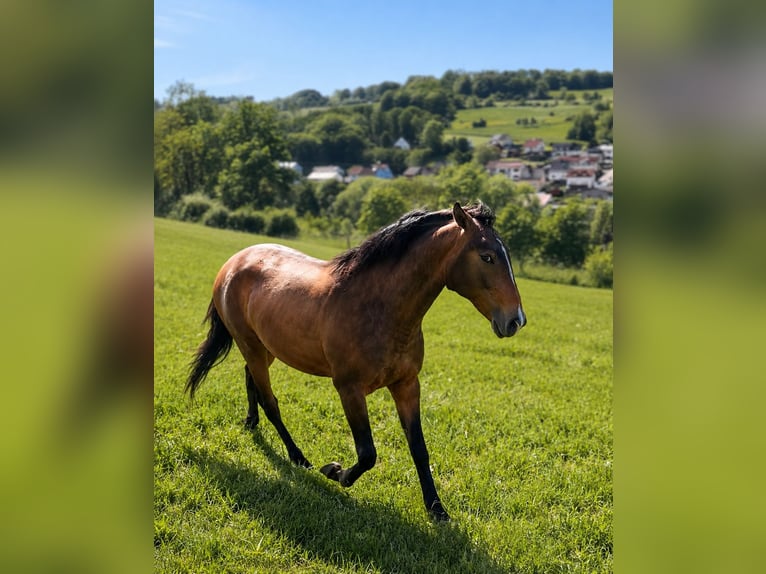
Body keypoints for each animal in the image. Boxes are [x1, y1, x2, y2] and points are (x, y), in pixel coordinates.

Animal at [186, 203, 526, 521]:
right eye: (487, 257)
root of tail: (234, 262)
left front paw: (437, 510)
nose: (516, 320)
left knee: (250, 379)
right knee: (271, 403)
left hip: (264, 347)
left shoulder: (406, 385)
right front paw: (335, 471)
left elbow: (419, 448)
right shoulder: (348, 388)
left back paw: (251, 423)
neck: (378, 308)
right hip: (251, 345)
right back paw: (299, 458)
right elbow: (367, 454)